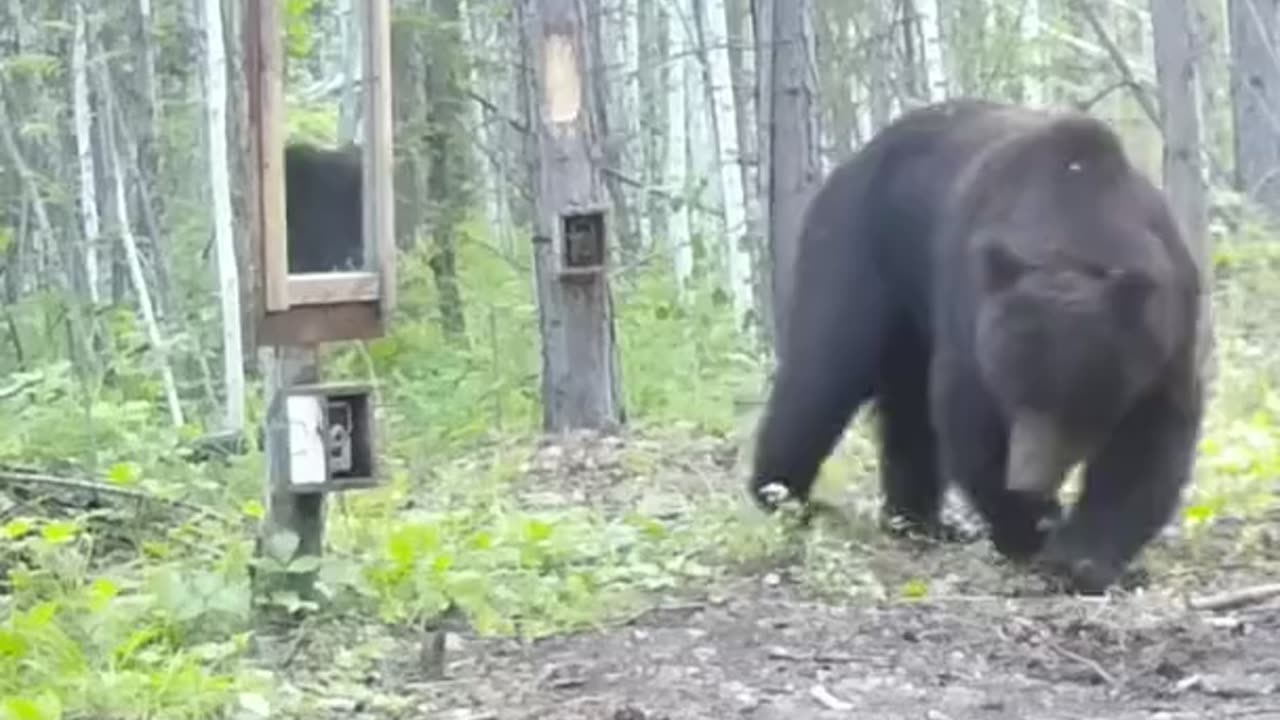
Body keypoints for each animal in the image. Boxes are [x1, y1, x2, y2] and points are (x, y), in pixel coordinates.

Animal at [747, 98, 1203, 591]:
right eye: (1015, 394)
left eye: (1074, 401)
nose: (1026, 480)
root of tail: (854, 159)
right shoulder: (971, 314)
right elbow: (970, 419)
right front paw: (1031, 529)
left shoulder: (1166, 337)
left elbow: (1149, 441)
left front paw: (1084, 558)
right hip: (860, 249)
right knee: (822, 376)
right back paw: (783, 495)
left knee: (908, 408)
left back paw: (919, 520)